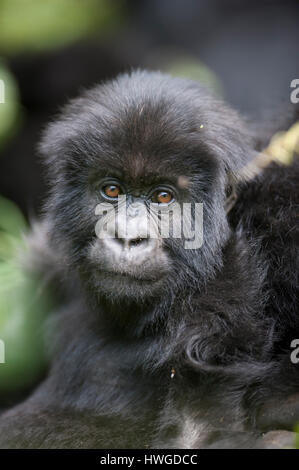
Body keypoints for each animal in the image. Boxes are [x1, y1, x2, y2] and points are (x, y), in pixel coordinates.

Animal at [0, 71, 299, 450]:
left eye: (163, 197)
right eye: (111, 190)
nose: (128, 238)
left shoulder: (226, 290)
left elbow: (198, 432)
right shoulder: (47, 261)